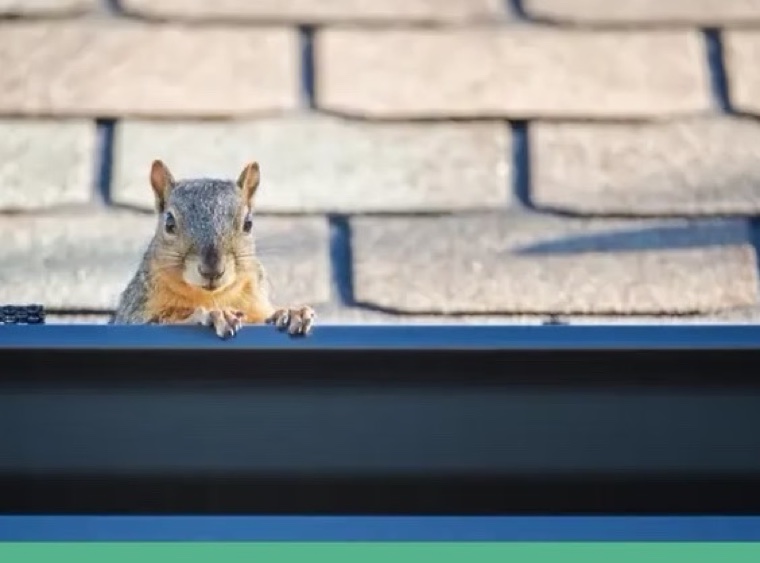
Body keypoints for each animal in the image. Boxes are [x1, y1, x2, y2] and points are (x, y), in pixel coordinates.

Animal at [109, 159, 315, 339]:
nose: (212, 270)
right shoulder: (136, 311)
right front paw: (214, 315)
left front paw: (292, 312)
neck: (211, 297)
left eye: (248, 224)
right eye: (169, 223)